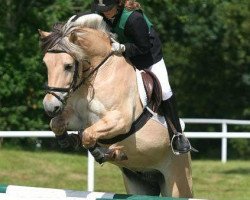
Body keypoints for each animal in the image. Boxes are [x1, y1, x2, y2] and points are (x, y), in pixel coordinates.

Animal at [39, 13, 193, 197]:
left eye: (68, 66)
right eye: (46, 63)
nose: (50, 106)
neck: (99, 74)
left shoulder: (119, 120)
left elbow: (88, 135)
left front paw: (100, 152)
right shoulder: (79, 118)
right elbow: (56, 123)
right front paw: (68, 140)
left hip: (177, 182)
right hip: (139, 181)